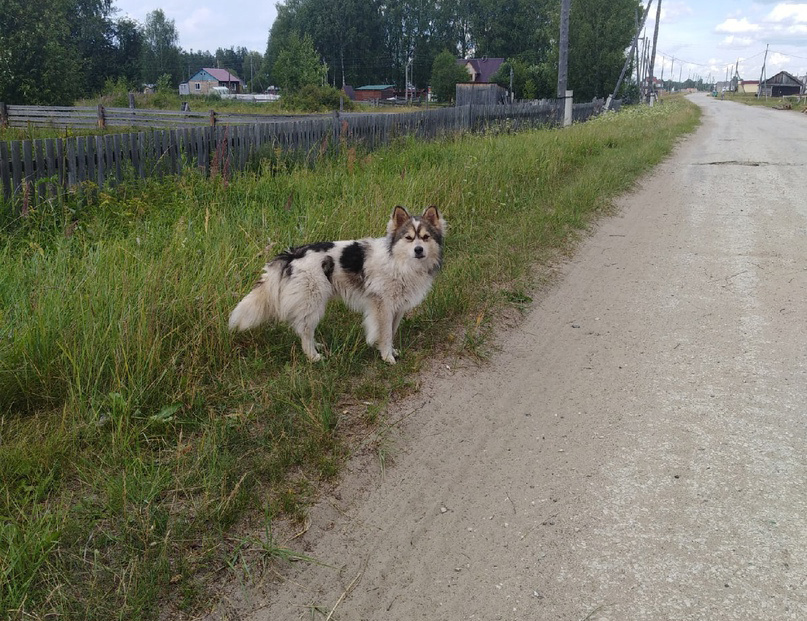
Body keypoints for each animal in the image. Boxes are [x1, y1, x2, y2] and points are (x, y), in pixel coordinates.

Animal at [227, 206, 446, 364]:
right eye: (408, 238)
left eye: (425, 237)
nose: (418, 250)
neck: (399, 263)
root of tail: (293, 254)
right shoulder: (382, 307)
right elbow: (385, 334)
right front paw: (387, 357)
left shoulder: (397, 308)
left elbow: (391, 331)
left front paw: (391, 351)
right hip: (313, 301)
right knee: (304, 331)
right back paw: (313, 356)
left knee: (304, 328)